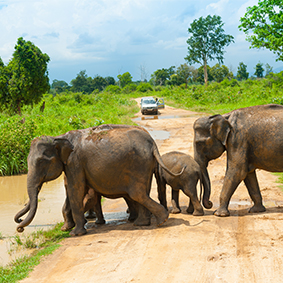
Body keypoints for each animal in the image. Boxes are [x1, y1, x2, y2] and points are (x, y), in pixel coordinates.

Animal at [15, 123, 185, 236]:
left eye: (41, 162)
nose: (19, 227)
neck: (59, 137)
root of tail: (152, 143)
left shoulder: (75, 162)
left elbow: (75, 190)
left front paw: (75, 234)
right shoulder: (72, 165)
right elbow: (73, 190)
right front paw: (67, 229)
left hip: (139, 164)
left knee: (137, 194)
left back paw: (161, 220)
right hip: (144, 164)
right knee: (141, 193)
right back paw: (142, 223)